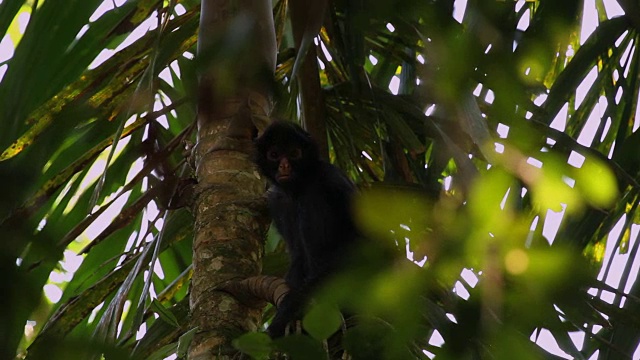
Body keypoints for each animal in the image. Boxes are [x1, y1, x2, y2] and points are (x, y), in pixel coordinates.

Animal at [252, 120, 358, 338]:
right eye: (274, 154)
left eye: (294, 153)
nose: (284, 165)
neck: (297, 188)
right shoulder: (277, 200)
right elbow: (297, 257)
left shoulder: (330, 177)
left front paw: (281, 320)